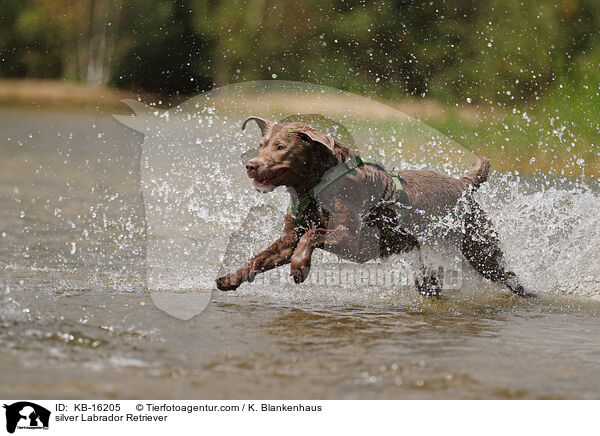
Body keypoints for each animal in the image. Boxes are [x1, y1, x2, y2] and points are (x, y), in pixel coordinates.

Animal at [214, 114, 528, 298]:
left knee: (508, 275)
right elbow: (262, 256)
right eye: (261, 144)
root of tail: (464, 184)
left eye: (281, 147)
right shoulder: (289, 236)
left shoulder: (355, 240)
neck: (315, 186)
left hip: (479, 247)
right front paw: (229, 278)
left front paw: (300, 266)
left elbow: (312, 235)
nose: (251, 165)